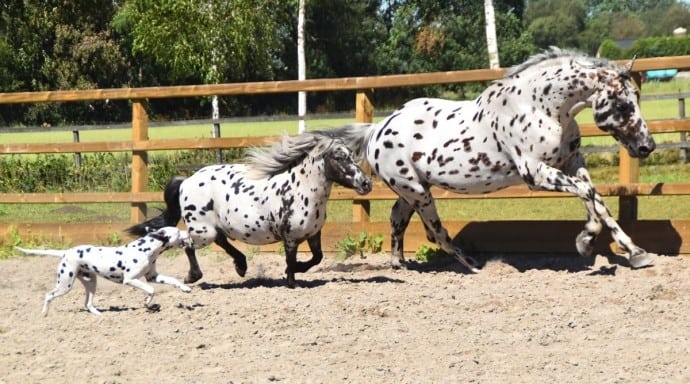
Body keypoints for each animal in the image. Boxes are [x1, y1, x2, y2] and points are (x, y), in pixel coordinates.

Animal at [16, 225, 194, 316]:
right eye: (178, 231)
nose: (189, 231)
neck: (146, 249)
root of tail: (66, 252)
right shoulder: (130, 280)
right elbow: (151, 290)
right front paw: (147, 302)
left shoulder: (153, 276)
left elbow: (173, 280)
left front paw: (185, 288)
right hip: (65, 284)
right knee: (49, 295)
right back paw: (44, 314)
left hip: (90, 282)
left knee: (88, 304)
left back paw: (100, 316)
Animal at [123, 130, 370, 286]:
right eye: (339, 157)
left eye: (352, 155)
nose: (366, 183)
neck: (300, 189)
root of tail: (186, 182)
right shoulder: (290, 237)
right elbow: (291, 262)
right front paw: (291, 280)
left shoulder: (313, 233)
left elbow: (317, 258)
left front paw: (298, 270)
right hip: (203, 230)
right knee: (189, 244)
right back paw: (193, 276)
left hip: (213, 228)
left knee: (221, 241)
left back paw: (241, 266)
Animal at [332, 47, 656, 270]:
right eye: (623, 105)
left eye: (636, 99)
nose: (646, 146)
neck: (541, 108)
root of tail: (377, 129)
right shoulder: (535, 173)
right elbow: (587, 194)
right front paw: (586, 241)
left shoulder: (572, 163)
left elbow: (596, 199)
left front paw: (636, 252)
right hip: (417, 191)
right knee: (434, 231)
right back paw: (473, 264)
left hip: (414, 189)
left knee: (398, 217)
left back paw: (400, 263)